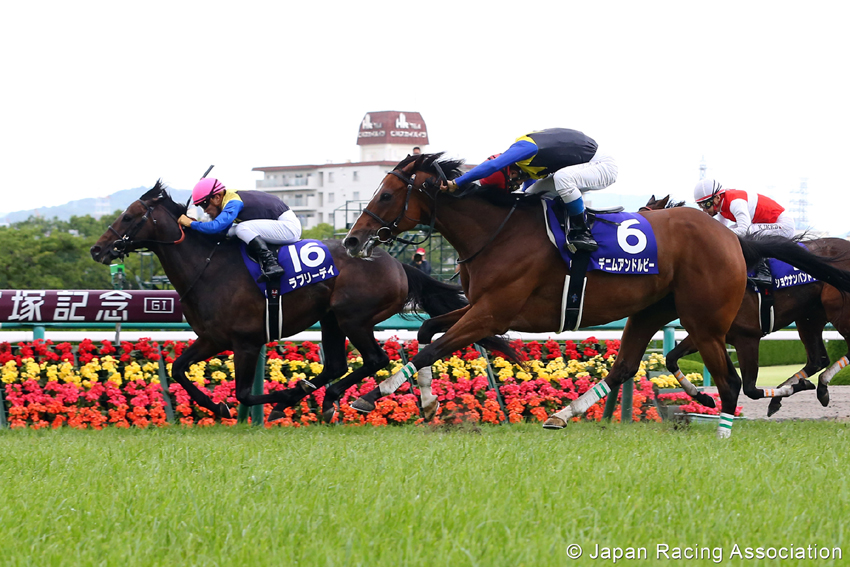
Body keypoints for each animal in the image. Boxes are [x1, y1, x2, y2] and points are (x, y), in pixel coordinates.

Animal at [644, 195, 848, 418]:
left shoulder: (746, 337)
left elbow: (750, 389)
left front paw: (800, 386)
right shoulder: (708, 332)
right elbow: (671, 358)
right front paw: (704, 398)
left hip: (838, 312)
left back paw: (816, 386)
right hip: (809, 318)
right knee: (818, 359)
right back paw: (801, 392)